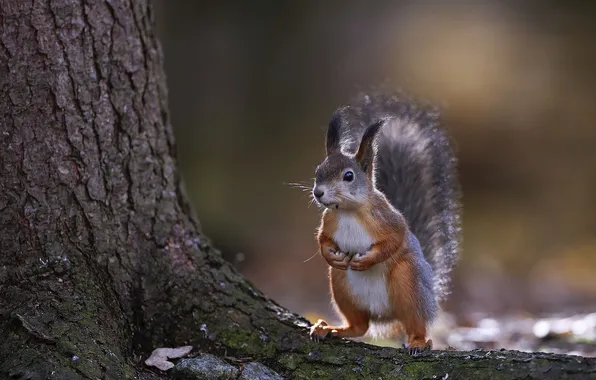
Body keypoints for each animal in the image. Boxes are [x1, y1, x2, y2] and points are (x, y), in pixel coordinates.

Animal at [308, 87, 460, 354]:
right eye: (318, 170)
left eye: (349, 176)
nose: (318, 193)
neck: (349, 211)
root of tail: (384, 316)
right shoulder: (329, 221)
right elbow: (323, 238)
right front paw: (329, 254)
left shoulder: (389, 219)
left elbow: (395, 240)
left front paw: (368, 259)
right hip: (341, 285)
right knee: (359, 326)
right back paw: (331, 329)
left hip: (408, 282)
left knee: (416, 323)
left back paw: (419, 342)